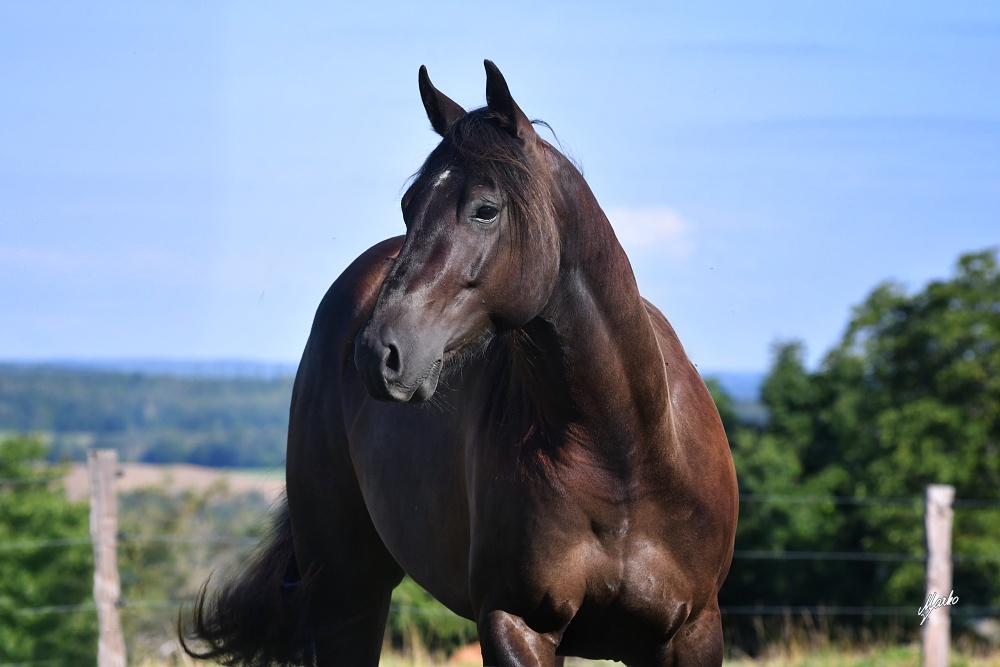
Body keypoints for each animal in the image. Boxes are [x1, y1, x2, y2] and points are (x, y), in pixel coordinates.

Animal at [186, 60, 736, 664]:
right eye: (409, 207)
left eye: (486, 210)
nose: (376, 353)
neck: (621, 454)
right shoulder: (515, 622)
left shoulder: (692, 632)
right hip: (346, 593)